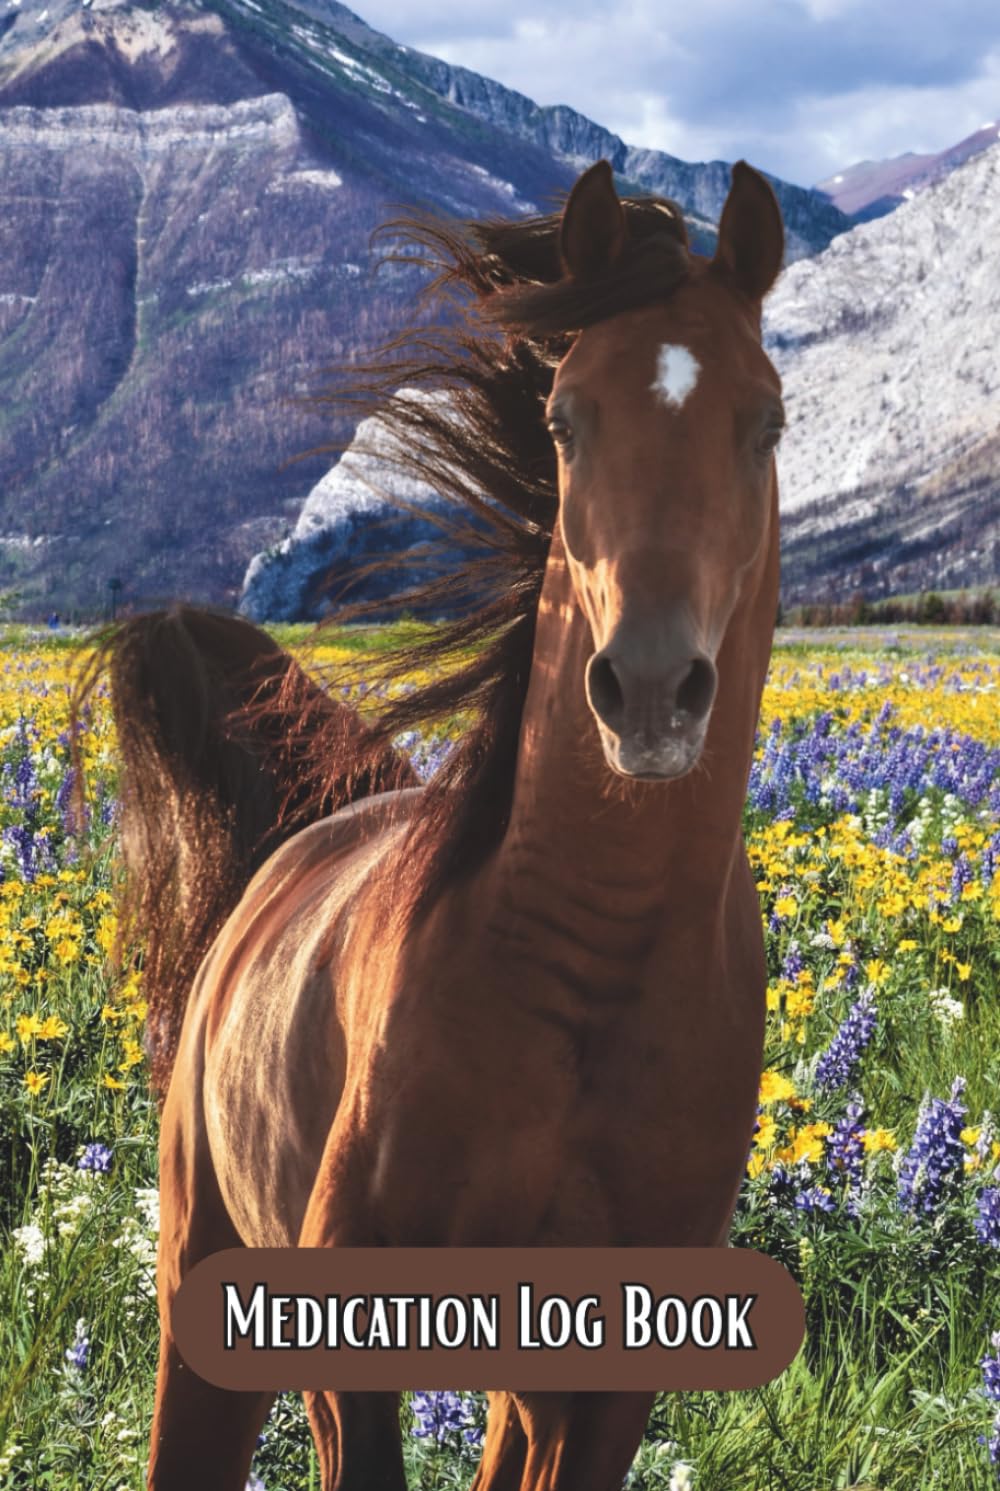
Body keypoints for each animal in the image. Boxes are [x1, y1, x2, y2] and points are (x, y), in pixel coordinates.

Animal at [93, 156, 785, 1491]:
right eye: (563, 416)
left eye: (767, 418)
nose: (651, 689)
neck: (589, 971)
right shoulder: (344, 1329)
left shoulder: (608, 1380)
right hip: (204, 1273)